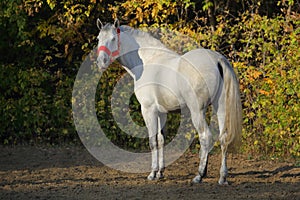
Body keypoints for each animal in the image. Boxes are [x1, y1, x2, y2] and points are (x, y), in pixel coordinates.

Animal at [96, 19, 241, 184]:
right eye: (98, 39)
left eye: (113, 38)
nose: (101, 62)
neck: (147, 61)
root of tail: (217, 60)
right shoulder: (161, 112)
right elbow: (161, 140)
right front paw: (160, 172)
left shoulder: (148, 110)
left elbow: (152, 142)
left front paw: (152, 173)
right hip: (221, 108)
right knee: (223, 138)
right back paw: (222, 177)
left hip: (197, 111)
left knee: (205, 137)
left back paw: (199, 175)